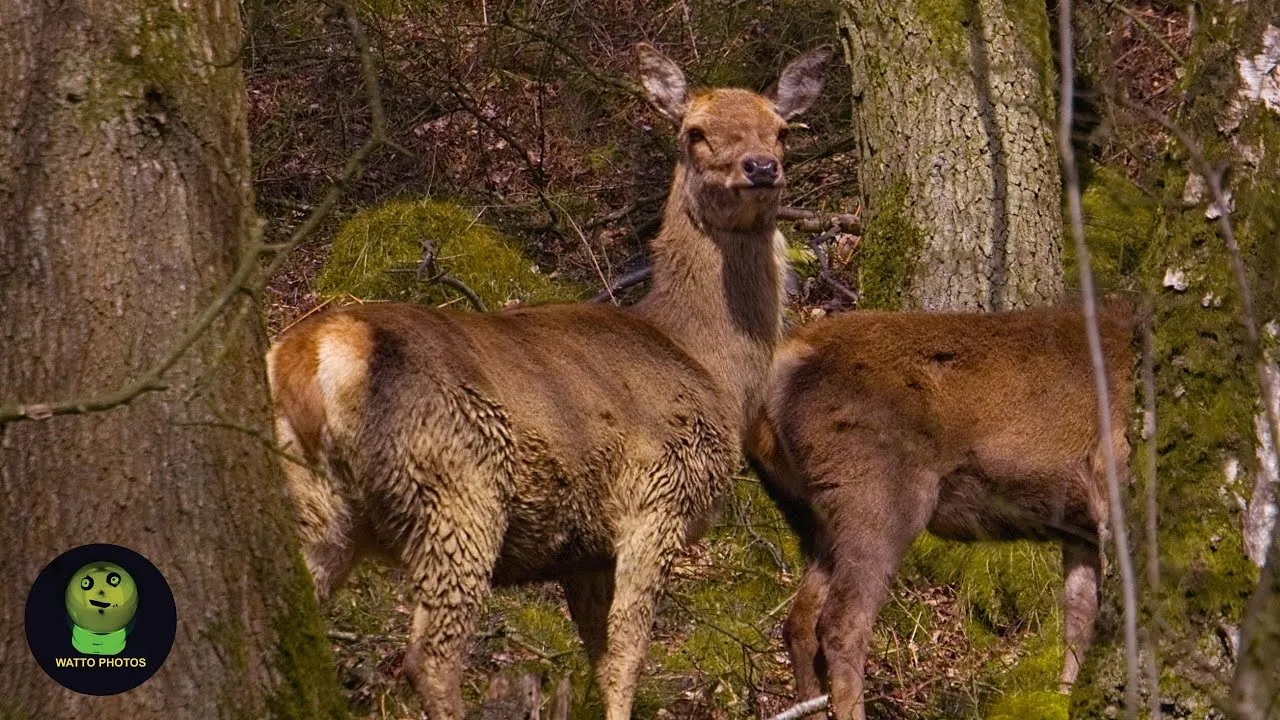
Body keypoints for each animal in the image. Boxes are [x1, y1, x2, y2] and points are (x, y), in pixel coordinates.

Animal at [266, 43, 833, 720]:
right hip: (457, 491)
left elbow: (602, 656)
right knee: (429, 658)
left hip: (314, 500)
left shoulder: (585, 550)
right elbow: (627, 657)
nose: (761, 167)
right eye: (694, 132)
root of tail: (314, 354)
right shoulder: (656, 499)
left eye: (781, 129)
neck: (709, 367)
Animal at [748, 301, 1134, 720]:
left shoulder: (1079, 526)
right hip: (876, 497)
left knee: (799, 623)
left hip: (812, 516)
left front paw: (1064, 697)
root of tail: (786, 359)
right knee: (841, 624)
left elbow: (1080, 620)